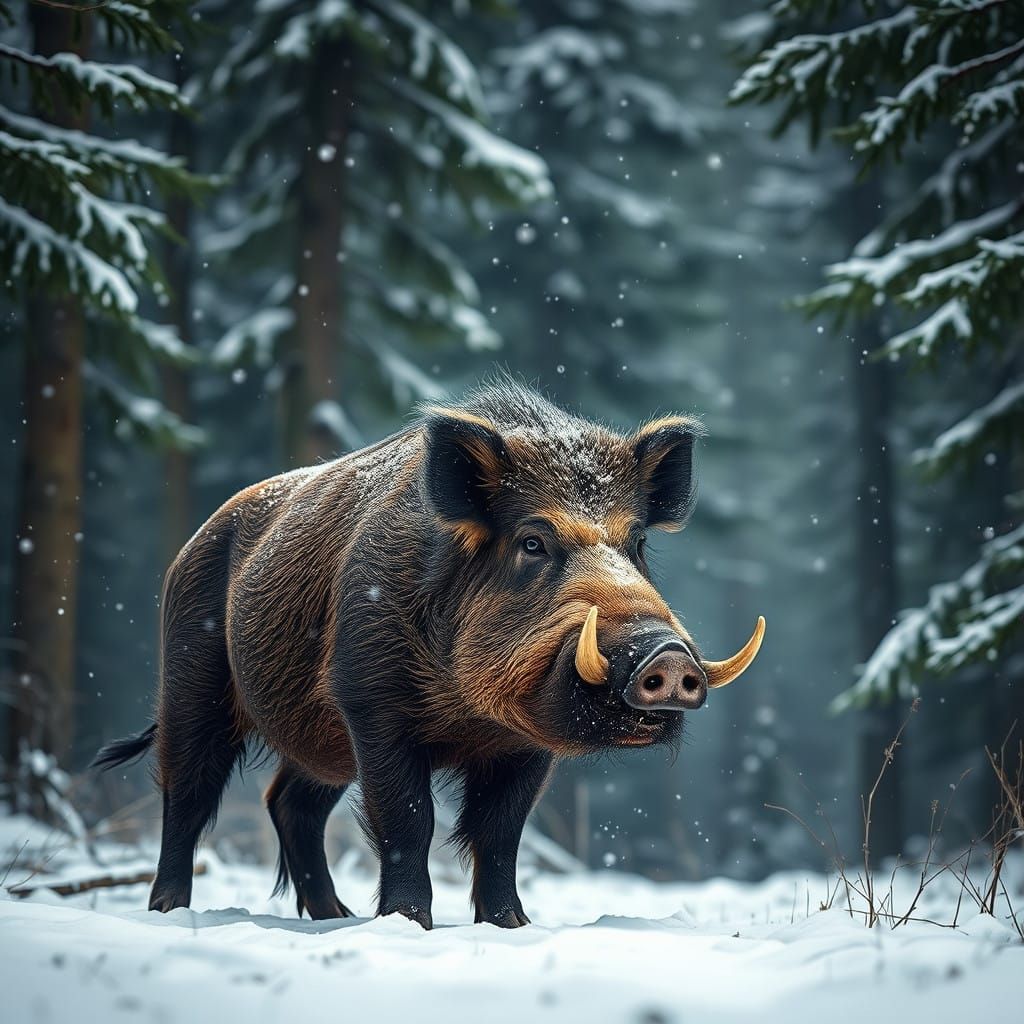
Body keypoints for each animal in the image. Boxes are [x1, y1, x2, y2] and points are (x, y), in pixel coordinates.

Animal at [94, 379, 764, 928]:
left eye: (638, 543)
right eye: (533, 541)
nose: (667, 656)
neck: (466, 713)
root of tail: (191, 546)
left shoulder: (524, 746)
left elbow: (499, 834)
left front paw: (511, 926)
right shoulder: (371, 701)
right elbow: (408, 819)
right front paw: (409, 924)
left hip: (321, 743)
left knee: (289, 803)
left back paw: (333, 916)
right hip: (191, 679)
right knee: (187, 793)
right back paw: (168, 912)